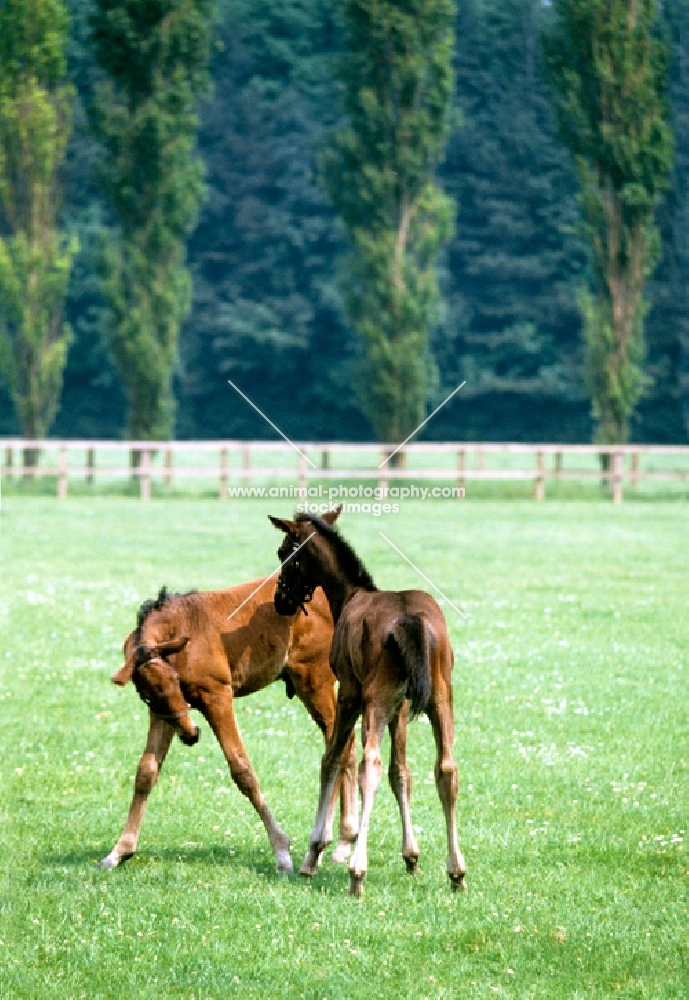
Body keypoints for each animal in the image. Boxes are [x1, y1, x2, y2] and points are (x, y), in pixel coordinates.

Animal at [100, 584, 358, 872]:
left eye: (175, 679)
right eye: (147, 697)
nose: (191, 734)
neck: (181, 628)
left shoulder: (217, 696)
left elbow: (242, 769)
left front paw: (281, 851)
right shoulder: (164, 715)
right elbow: (146, 772)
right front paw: (120, 851)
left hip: (314, 681)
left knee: (339, 749)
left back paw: (327, 846)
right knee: (346, 746)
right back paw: (343, 842)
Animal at [268, 512, 468, 896]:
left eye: (284, 552)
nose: (280, 601)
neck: (350, 596)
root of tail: (410, 621)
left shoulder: (349, 692)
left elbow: (332, 759)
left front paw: (313, 854)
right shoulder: (401, 709)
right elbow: (401, 773)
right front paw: (411, 856)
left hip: (376, 699)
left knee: (369, 765)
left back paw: (357, 873)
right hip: (440, 698)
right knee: (446, 768)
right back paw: (456, 872)